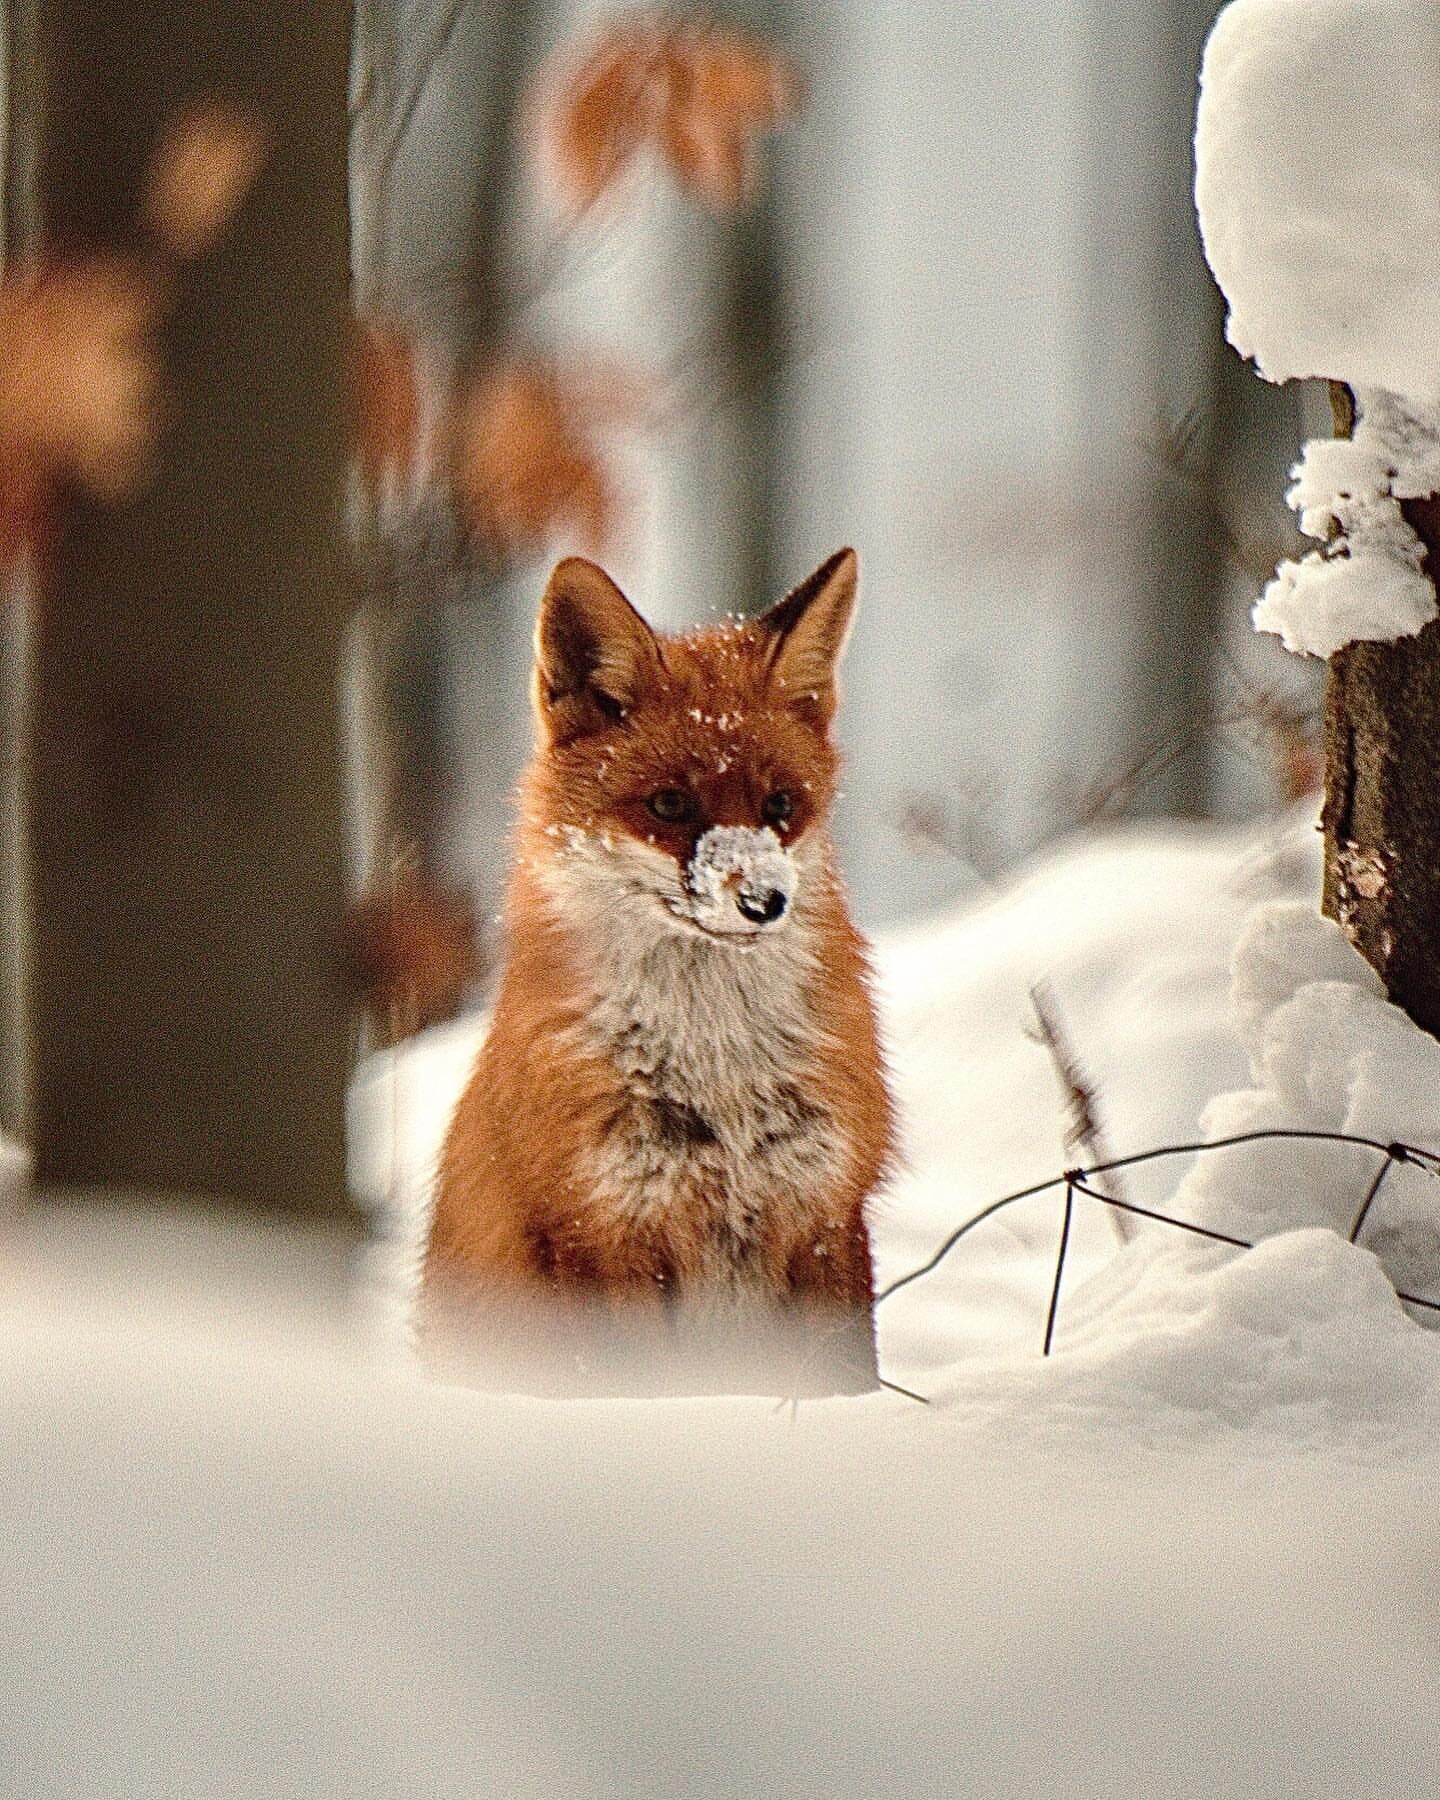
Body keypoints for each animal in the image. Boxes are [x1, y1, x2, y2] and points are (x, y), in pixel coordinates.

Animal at [415, 547, 892, 1389]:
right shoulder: (604, 1229)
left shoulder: (826, 1210)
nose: (765, 901)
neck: (718, 1068)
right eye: (670, 804)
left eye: (780, 805)